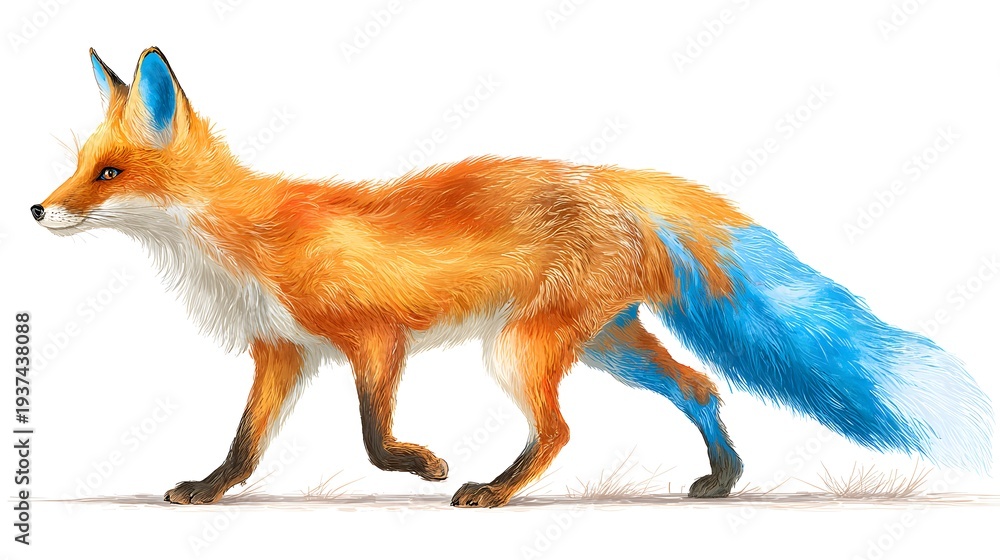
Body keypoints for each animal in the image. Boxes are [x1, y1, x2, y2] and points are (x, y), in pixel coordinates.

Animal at [33, 47, 992, 507]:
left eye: (108, 174)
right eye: (79, 166)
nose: (38, 211)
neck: (244, 240)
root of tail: (612, 179)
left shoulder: (374, 339)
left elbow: (373, 438)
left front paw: (421, 465)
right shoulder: (284, 352)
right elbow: (244, 445)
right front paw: (205, 491)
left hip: (521, 349)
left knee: (563, 431)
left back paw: (493, 491)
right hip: (609, 344)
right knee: (702, 385)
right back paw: (722, 480)